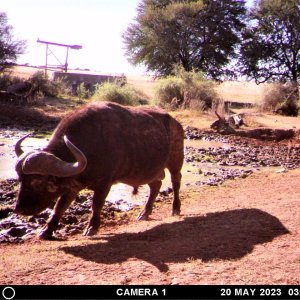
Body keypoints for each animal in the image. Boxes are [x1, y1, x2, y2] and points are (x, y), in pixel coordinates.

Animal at [14, 102, 185, 239]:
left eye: (37, 181)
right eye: (20, 180)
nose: (19, 209)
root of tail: (176, 123)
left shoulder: (104, 183)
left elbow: (96, 204)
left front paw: (92, 228)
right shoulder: (73, 185)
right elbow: (59, 207)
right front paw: (46, 230)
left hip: (176, 161)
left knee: (176, 182)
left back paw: (175, 208)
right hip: (150, 171)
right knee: (155, 185)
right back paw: (144, 212)